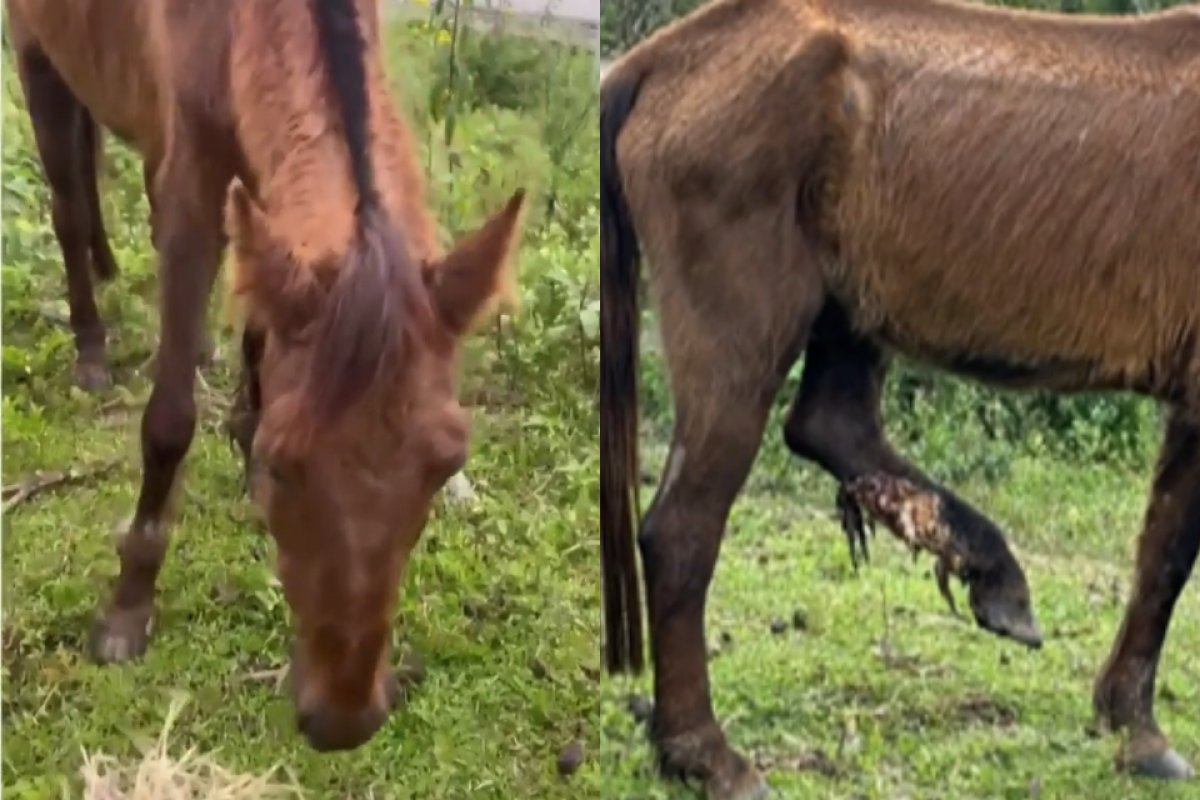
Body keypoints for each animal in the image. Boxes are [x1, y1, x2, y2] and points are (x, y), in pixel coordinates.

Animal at [6, 0, 525, 752]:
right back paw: (92, 346)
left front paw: (243, 431)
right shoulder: (195, 188)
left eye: (446, 465)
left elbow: (260, 317)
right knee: (69, 204)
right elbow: (169, 423)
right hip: (37, 58)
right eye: (287, 466)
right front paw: (129, 604)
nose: (344, 718)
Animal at [599, 0, 1200, 795]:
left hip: (846, 307)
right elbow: (1173, 557)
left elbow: (1161, 554)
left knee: (829, 425)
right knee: (681, 529)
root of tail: (663, 56)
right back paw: (704, 752)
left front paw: (1129, 723)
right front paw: (1137, 729)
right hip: (742, 333)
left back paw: (994, 575)